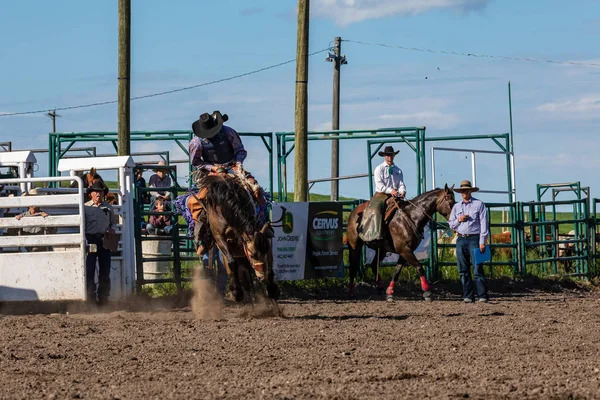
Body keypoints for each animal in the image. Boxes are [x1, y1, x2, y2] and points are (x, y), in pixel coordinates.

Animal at [198, 173, 280, 302]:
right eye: (252, 254)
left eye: (265, 250)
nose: (262, 277)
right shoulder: (219, 236)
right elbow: (231, 262)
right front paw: (237, 292)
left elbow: (269, 260)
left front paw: (272, 289)